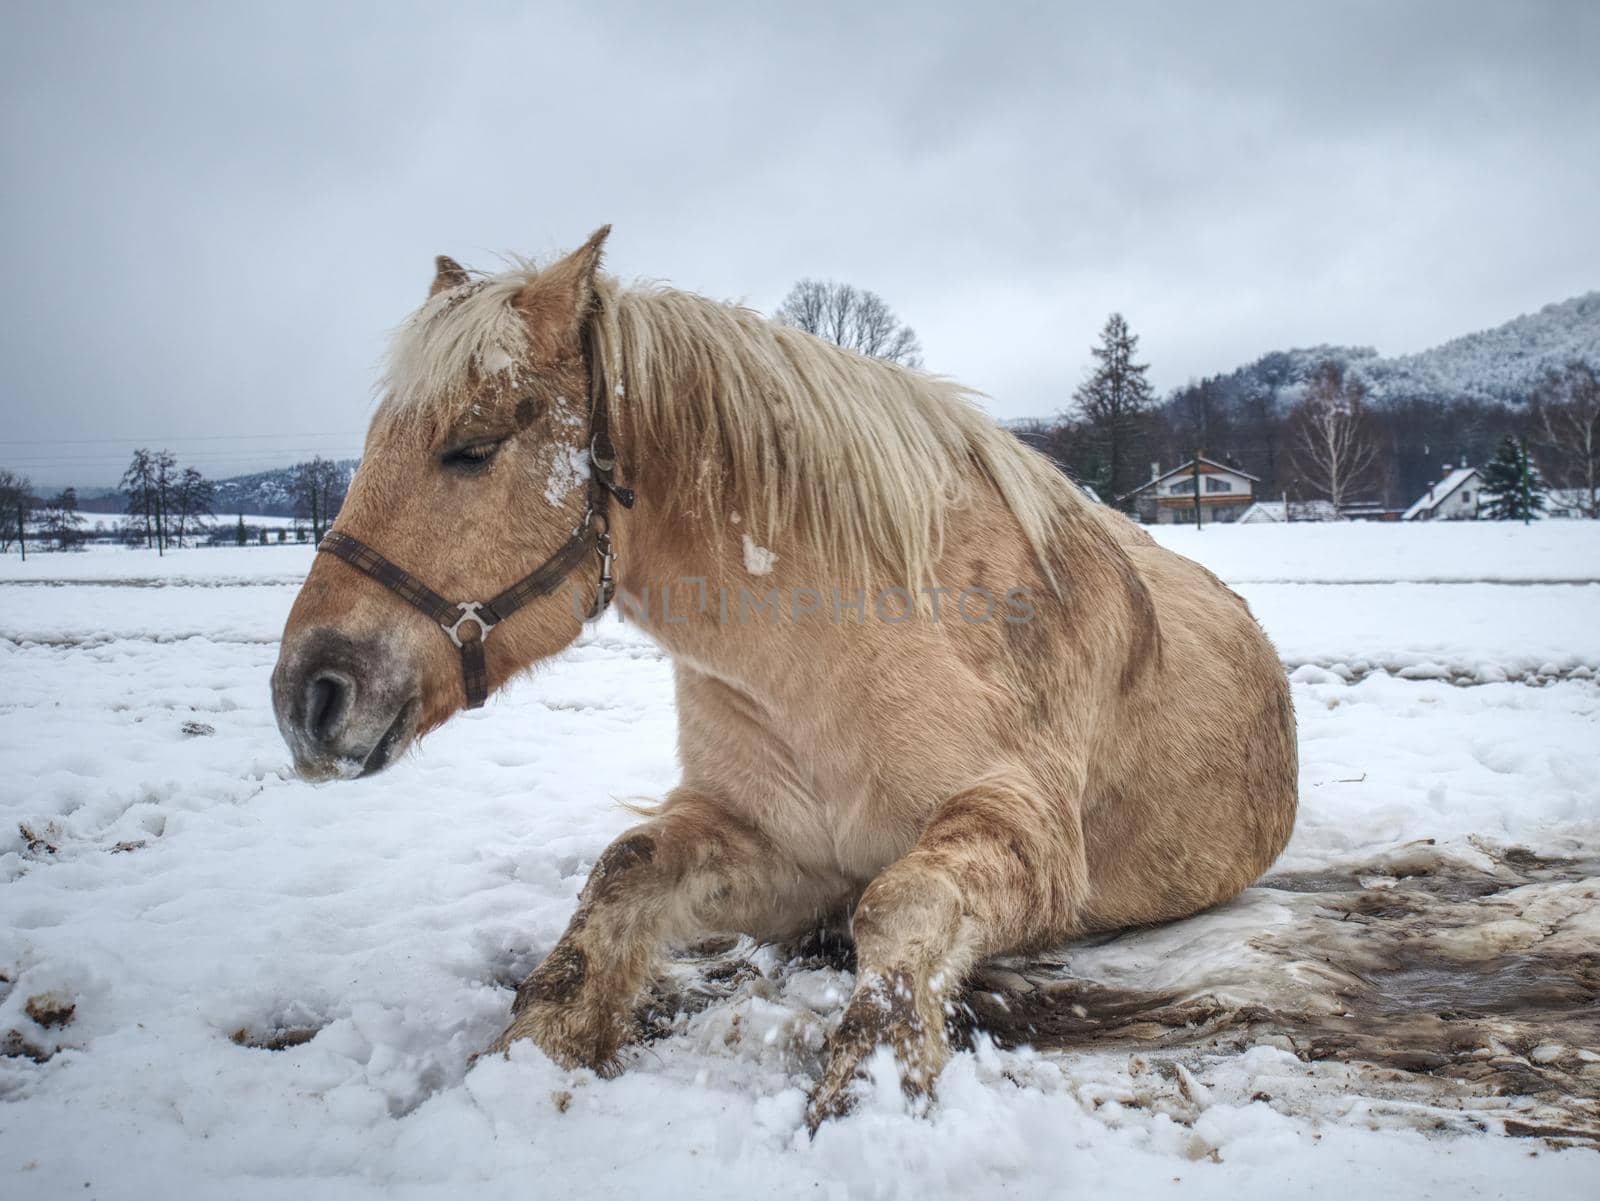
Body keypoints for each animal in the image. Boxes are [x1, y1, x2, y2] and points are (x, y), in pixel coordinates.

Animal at [272, 227, 1299, 1138]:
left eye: (472, 447)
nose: (307, 696)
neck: (839, 658)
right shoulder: (785, 851)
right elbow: (622, 873)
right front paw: (530, 1049)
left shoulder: (1023, 832)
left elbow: (903, 905)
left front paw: (867, 1088)